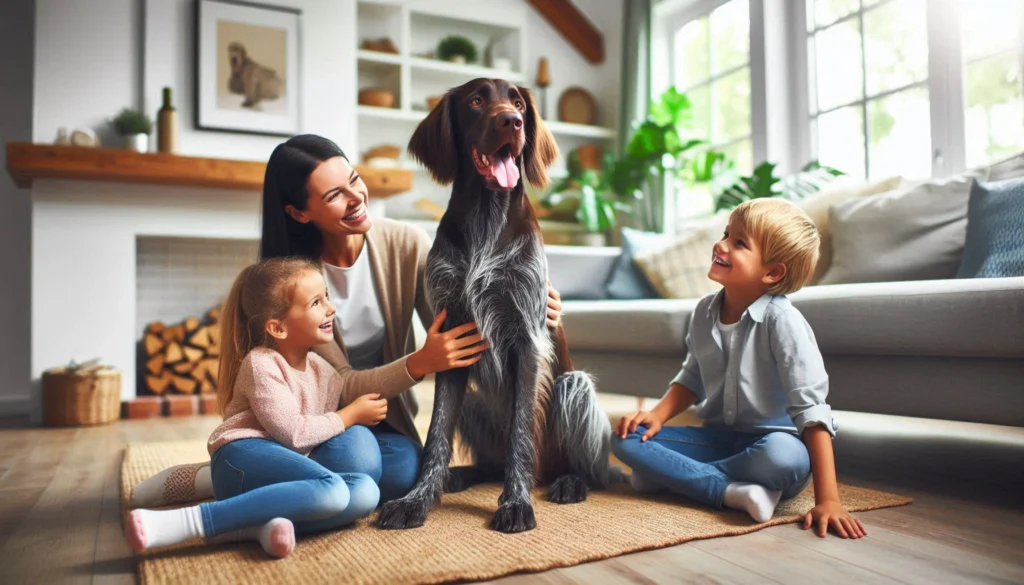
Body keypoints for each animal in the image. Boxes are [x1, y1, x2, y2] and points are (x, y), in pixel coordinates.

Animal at [374, 78, 614, 536]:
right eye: (475, 101)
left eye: (518, 103)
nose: (512, 121)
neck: (487, 218)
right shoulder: (453, 338)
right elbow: (436, 434)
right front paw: (418, 498)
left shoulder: (527, 339)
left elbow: (521, 432)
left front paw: (516, 503)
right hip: (474, 401)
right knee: (490, 462)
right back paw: (461, 475)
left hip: (572, 385)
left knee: (583, 468)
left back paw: (569, 482)